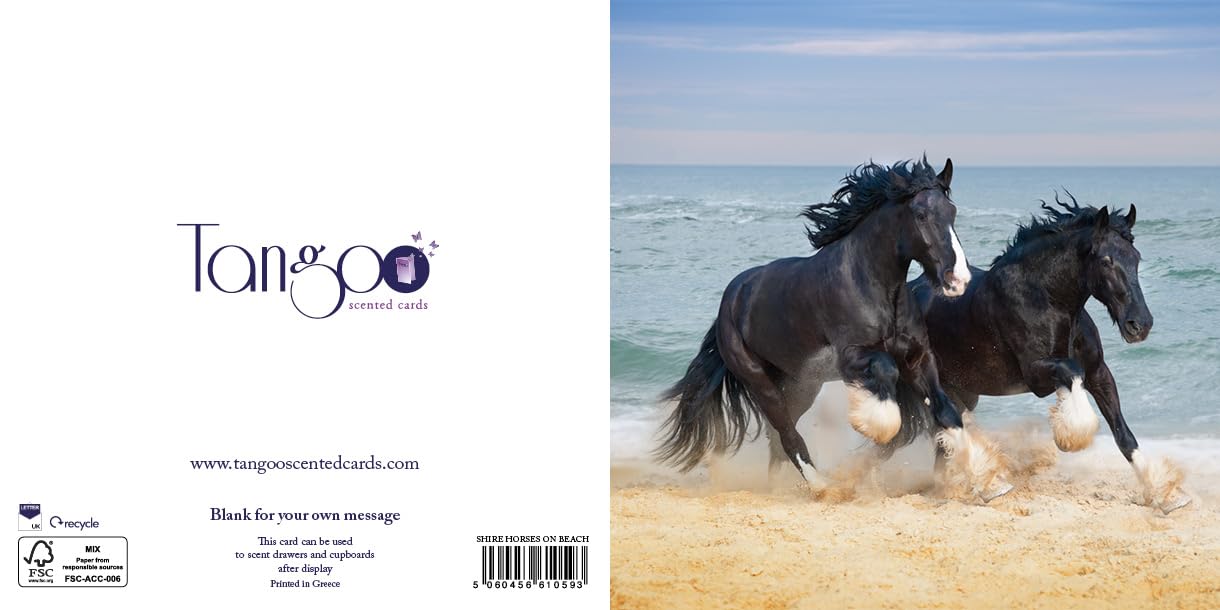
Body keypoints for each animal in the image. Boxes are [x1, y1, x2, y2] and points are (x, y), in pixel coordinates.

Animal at [656, 158, 1012, 502]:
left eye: (952, 212)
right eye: (921, 214)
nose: (958, 280)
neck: (874, 285)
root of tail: (731, 299)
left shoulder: (918, 358)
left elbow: (946, 412)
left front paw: (991, 483)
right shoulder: (852, 357)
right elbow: (886, 371)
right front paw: (876, 423)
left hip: (800, 385)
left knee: (778, 437)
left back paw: (780, 487)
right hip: (760, 382)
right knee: (788, 435)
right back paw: (823, 487)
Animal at [885, 193, 1188, 513]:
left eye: (1136, 258)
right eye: (1106, 261)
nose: (1140, 324)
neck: (1047, 299)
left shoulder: (1099, 372)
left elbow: (1123, 434)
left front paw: (1165, 495)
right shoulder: (1036, 374)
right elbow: (1071, 371)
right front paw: (1072, 435)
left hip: (963, 393)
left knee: (944, 442)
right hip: (924, 380)